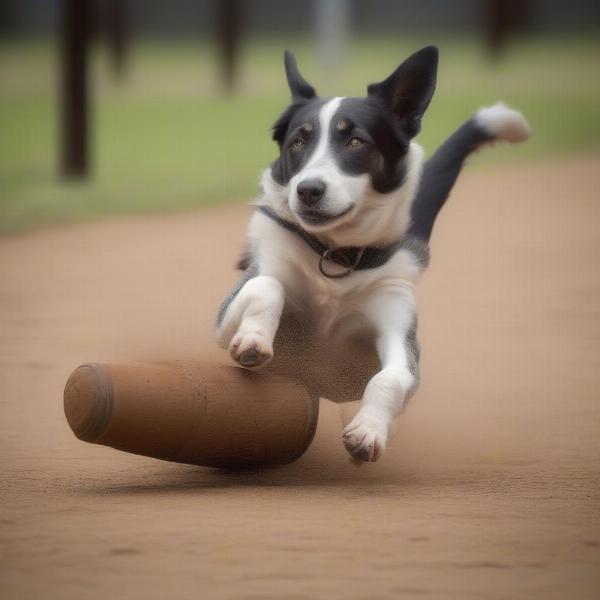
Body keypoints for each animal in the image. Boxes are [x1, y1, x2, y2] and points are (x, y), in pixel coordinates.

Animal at [214, 47, 528, 462]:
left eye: (356, 142)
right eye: (298, 142)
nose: (308, 190)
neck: (335, 257)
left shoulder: (399, 328)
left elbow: (390, 378)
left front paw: (368, 431)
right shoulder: (230, 310)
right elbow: (268, 286)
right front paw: (253, 339)